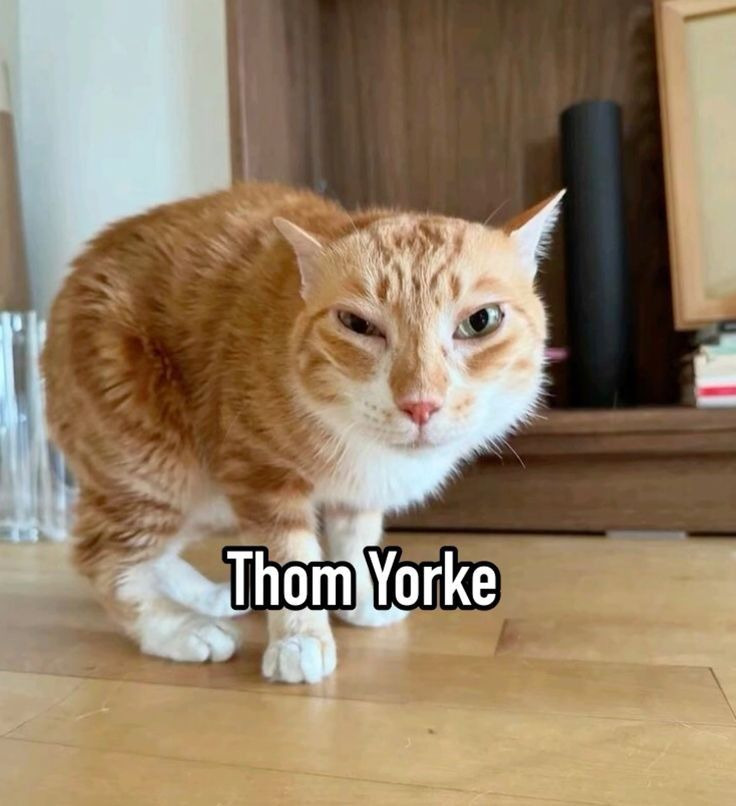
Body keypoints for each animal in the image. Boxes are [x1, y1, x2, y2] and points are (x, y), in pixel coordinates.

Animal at [42, 182, 562, 683]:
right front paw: (299, 640)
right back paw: (180, 629)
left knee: (152, 554)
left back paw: (208, 597)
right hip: (158, 467)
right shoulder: (259, 474)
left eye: (480, 321)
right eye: (357, 324)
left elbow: (356, 542)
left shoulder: (358, 493)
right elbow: (291, 555)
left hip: (200, 496)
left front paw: (362, 601)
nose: (420, 403)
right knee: (103, 557)